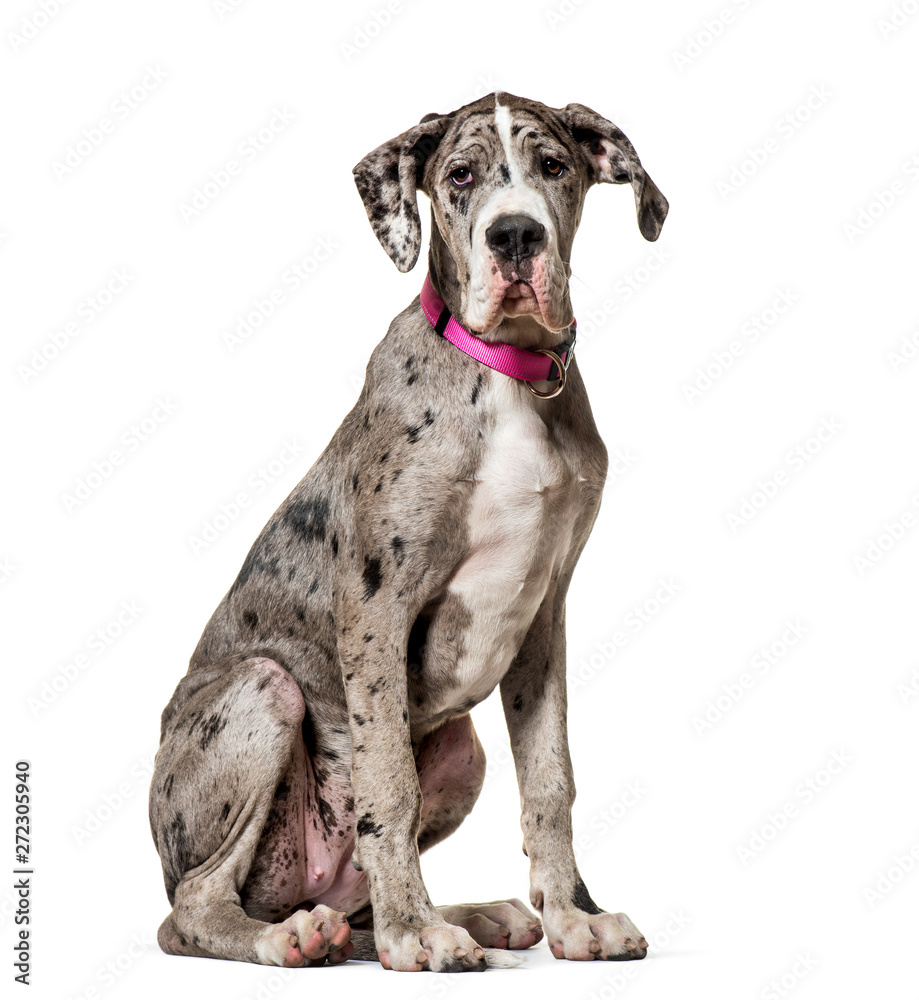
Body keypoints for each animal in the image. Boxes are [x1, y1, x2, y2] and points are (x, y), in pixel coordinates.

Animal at [149, 92, 668, 968]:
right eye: (458, 176)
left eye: (553, 166)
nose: (515, 236)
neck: (507, 375)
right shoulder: (376, 605)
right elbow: (386, 781)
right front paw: (415, 934)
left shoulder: (544, 616)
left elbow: (550, 777)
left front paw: (574, 916)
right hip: (262, 690)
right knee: (195, 906)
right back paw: (297, 936)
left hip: (463, 748)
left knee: (349, 896)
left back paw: (471, 913)